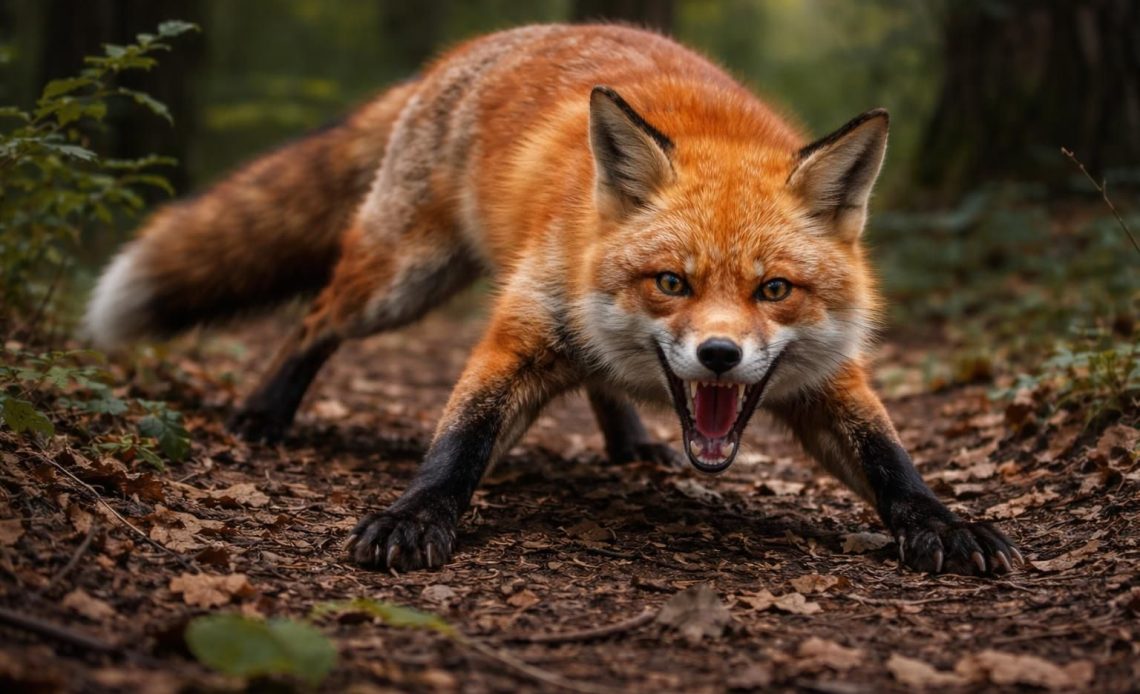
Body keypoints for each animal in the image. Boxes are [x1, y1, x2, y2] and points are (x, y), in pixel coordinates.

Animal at [85, 24, 1021, 576]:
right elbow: (459, 442)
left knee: (601, 380)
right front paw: (413, 515)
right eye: (672, 282)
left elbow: (890, 460)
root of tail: (475, 47)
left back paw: (632, 439)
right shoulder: (519, 332)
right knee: (315, 316)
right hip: (401, 282)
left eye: (774, 291)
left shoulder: (828, 380)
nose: (719, 355)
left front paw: (943, 522)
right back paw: (266, 410)